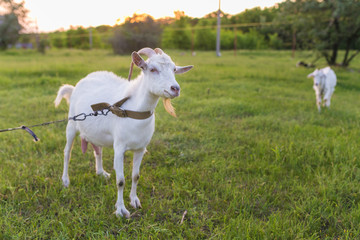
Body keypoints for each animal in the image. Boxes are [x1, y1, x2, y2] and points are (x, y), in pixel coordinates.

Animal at [53, 47, 193, 218]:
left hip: (95, 132)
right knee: (67, 152)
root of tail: (76, 86)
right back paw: (65, 181)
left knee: (98, 150)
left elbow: (135, 176)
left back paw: (101, 173)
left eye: (174, 69)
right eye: (152, 69)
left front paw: (135, 201)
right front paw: (121, 210)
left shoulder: (140, 148)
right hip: (72, 124)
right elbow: (120, 180)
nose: (175, 89)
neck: (133, 110)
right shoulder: (119, 147)